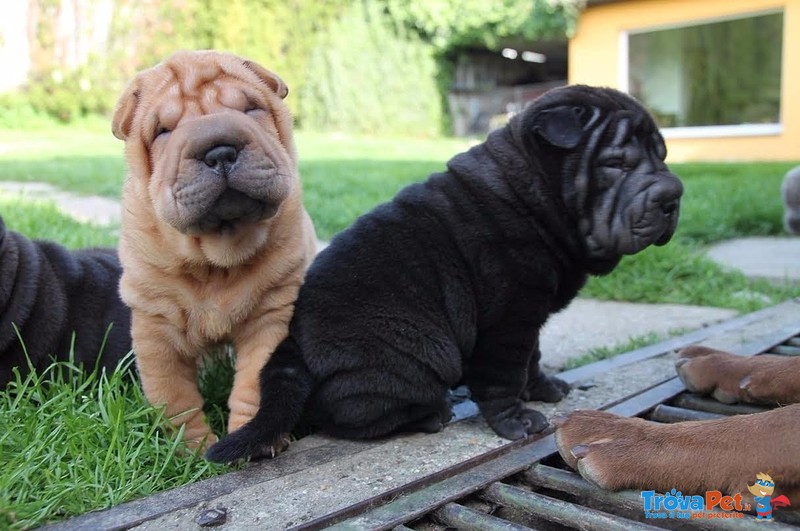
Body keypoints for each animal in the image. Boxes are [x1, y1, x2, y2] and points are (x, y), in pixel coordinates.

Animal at [113, 50, 318, 450]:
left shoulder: (271, 315)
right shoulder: (156, 326)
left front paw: (250, 441)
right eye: (163, 131)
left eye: (251, 109)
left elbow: (253, 385)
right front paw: (190, 449)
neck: (215, 259)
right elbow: (173, 398)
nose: (220, 150)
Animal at [205, 85, 680, 464]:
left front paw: (544, 387)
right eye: (617, 164)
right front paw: (517, 421)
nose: (674, 194)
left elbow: (533, 358)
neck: (534, 200)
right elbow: (505, 375)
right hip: (421, 353)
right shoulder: (508, 321)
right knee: (350, 415)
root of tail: (292, 341)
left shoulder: (530, 317)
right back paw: (435, 412)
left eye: (662, 155)